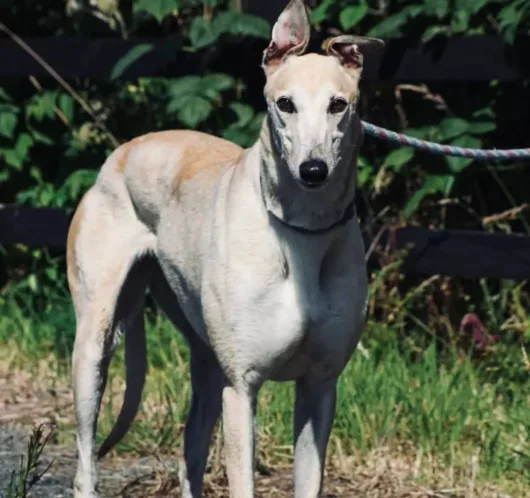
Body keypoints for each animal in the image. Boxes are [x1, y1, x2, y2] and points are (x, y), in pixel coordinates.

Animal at [66, 0, 382, 498]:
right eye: (285, 104)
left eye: (338, 104)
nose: (313, 171)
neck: (301, 233)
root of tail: (119, 153)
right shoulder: (241, 388)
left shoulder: (320, 388)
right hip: (93, 349)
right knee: (85, 461)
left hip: (206, 360)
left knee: (189, 457)